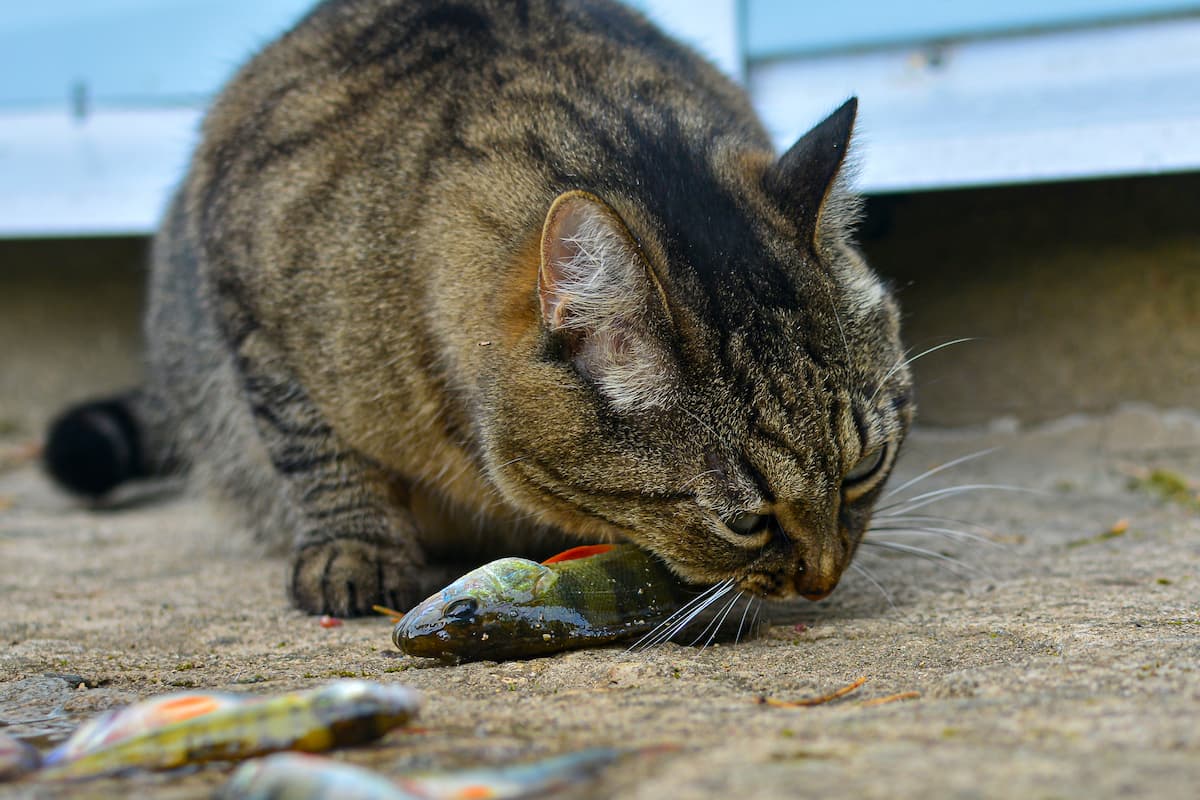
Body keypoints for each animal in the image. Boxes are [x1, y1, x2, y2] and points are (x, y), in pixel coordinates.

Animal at [44, 0, 907, 618]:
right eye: (743, 521)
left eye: (865, 470)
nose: (825, 578)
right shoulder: (246, 293)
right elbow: (313, 445)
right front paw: (353, 548)